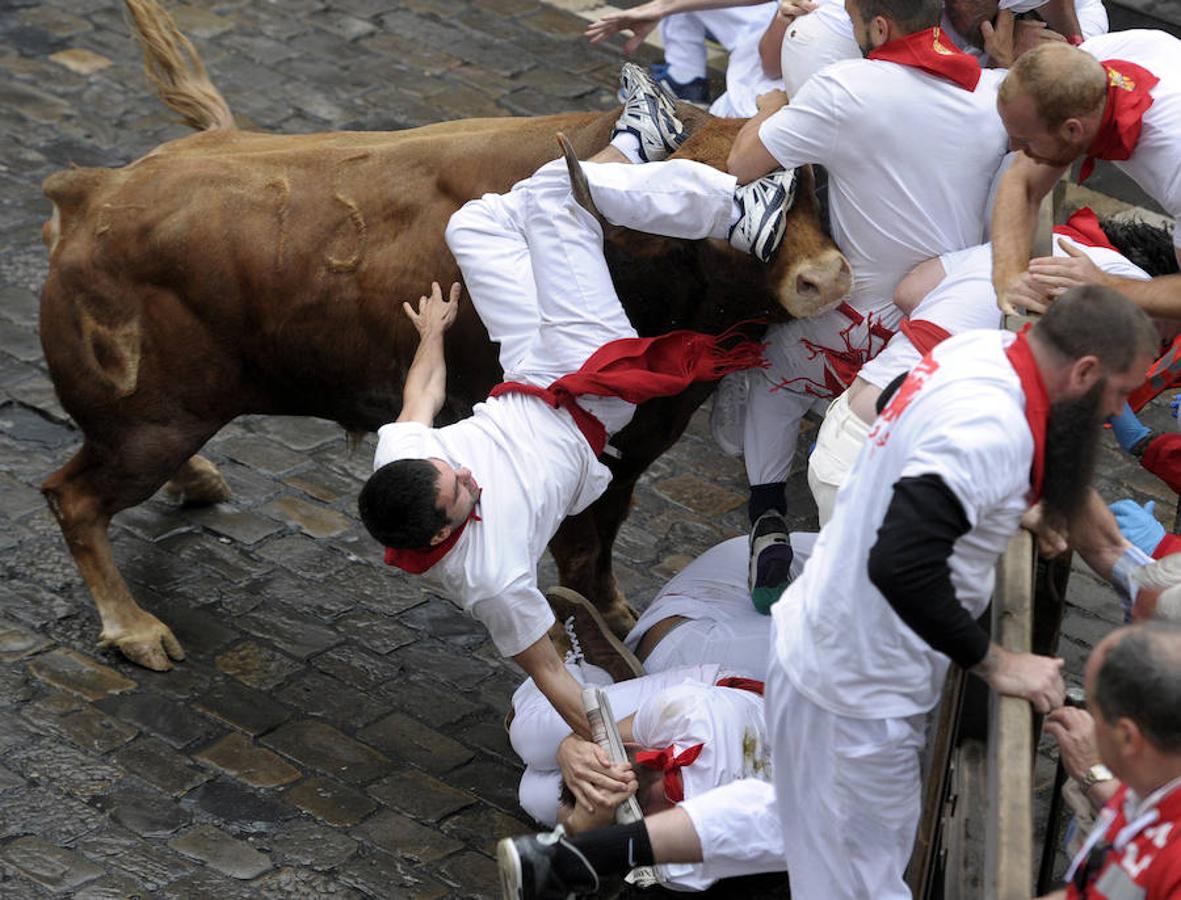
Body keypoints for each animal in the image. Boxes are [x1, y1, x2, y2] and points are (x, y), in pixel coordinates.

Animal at [36, 0, 850, 666]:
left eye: (804, 182)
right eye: (709, 222)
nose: (824, 277)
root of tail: (94, 192)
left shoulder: (639, 448)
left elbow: (607, 544)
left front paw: (624, 615)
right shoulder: (600, 454)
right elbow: (583, 555)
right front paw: (613, 634)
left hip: (167, 419)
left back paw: (196, 482)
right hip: (149, 426)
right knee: (73, 497)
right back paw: (135, 629)